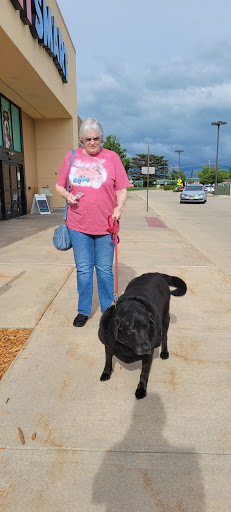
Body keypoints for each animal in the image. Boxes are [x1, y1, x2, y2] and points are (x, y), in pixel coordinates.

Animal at [98, 272, 187, 400]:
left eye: (147, 327)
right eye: (132, 328)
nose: (146, 347)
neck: (126, 346)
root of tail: (154, 273)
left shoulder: (148, 356)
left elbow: (144, 373)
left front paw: (141, 389)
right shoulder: (108, 344)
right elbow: (108, 360)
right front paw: (106, 372)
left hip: (165, 316)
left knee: (164, 335)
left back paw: (164, 351)